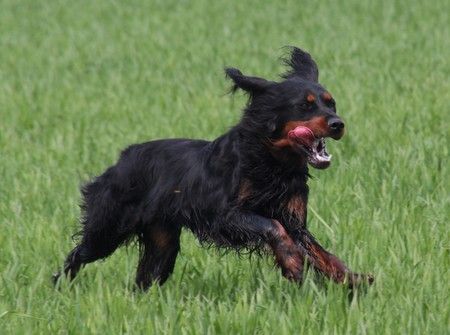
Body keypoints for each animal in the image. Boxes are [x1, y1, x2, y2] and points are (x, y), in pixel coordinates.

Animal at [53, 48, 372, 292]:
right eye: (304, 106)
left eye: (331, 103)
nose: (338, 124)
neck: (270, 162)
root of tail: (121, 160)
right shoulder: (223, 215)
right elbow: (273, 227)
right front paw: (292, 262)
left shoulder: (294, 219)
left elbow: (319, 251)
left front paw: (351, 278)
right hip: (108, 227)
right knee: (78, 255)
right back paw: (60, 285)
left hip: (162, 242)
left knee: (145, 278)